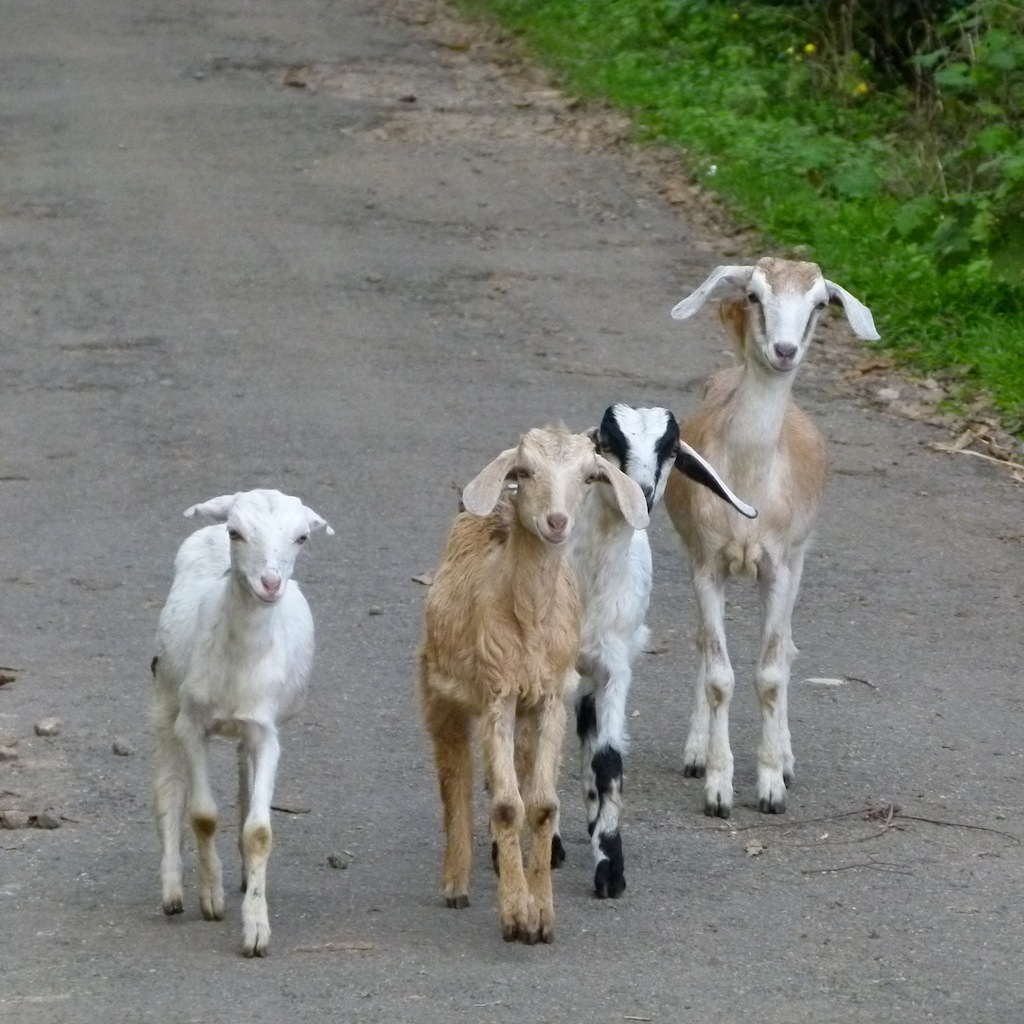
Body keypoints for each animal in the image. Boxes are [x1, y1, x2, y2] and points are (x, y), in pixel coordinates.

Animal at [150, 491, 331, 954]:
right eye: (238, 533)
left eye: (302, 537)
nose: (270, 583)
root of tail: (207, 526)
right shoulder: (192, 725)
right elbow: (202, 816)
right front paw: (211, 899)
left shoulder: (266, 732)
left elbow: (259, 831)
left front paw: (256, 930)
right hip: (165, 697)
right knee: (169, 787)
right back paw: (172, 890)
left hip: (245, 730)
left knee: (243, 781)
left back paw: (248, 875)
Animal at [417, 423, 647, 942]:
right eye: (525, 471)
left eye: (588, 476)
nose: (556, 521)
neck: (526, 618)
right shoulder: (497, 694)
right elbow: (506, 805)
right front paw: (515, 916)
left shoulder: (552, 699)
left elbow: (540, 805)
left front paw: (541, 915)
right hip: (440, 690)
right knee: (454, 775)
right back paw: (456, 882)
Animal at [557, 399, 757, 897]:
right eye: (608, 442)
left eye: (669, 450)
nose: (642, 493)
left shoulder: (613, 666)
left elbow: (607, 760)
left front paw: (610, 868)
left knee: (587, 729)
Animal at [663, 260, 880, 819]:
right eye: (755, 295)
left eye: (820, 303)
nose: (784, 350)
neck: (749, 496)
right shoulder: (706, 562)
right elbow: (719, 674)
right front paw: (717, 788)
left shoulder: (780, 566)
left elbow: (771, 672)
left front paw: (770, 788)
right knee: (704, 645)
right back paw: (695, 752)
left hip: (800, 560)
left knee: (785, 649)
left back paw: (785, 759)